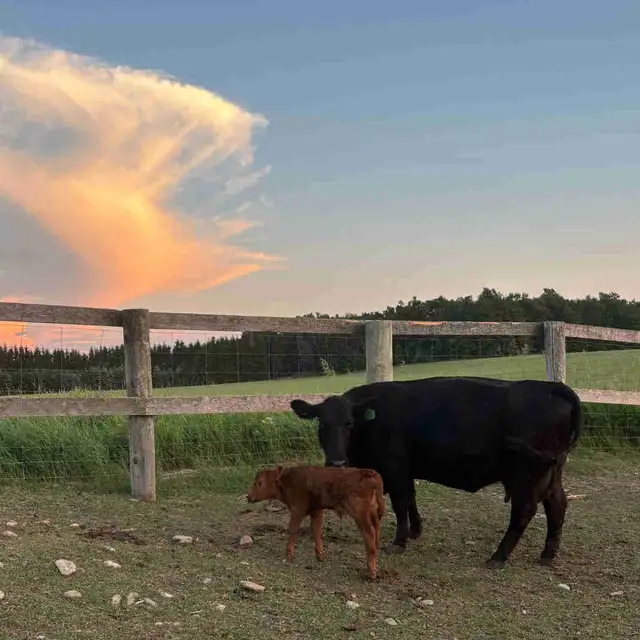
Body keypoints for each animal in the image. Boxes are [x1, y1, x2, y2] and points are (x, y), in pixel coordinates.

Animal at [246, 465, 385, 579]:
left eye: (259, 483)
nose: (248, 497)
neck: (289, 481)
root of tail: (370, 473)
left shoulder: (297, 509)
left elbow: (293, 530)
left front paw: (289, 554)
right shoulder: (316, 511)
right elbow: (316, 531)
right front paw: (320, 555)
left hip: (360, 514)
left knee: (369, 534)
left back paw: (372, 571)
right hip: (373, 513)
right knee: (376, 530)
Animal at [290, 376, 582, 569]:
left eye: (349, 423)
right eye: (322, 423)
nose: (337, 462)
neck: (373, 420)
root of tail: (550, 386)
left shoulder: (395, 466)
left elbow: (401, 502)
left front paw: (399, 542)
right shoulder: (405, 470)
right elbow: (411, 499)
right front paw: (415, 531)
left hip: (526, 473)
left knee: (524, 511)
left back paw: (498, 557)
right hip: (550, 473)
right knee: (557, 505)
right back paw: (547, 555)